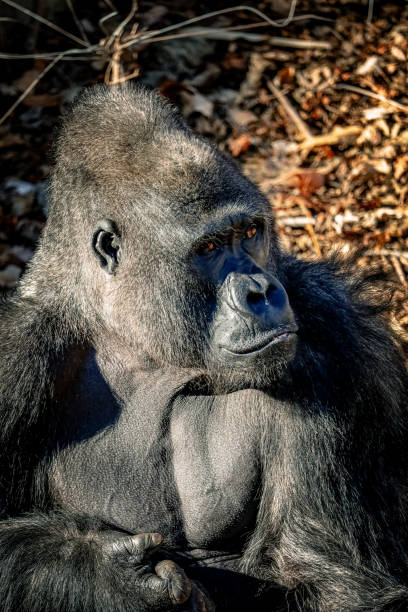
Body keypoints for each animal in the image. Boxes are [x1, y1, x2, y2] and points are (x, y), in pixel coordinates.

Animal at [0, 86, 408, 612]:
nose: (262, 291)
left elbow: (332, 583)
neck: (140, 342)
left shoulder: (331, 336)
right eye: (209, 248)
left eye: (251, 233)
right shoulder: (15, 354)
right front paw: (106, 575)